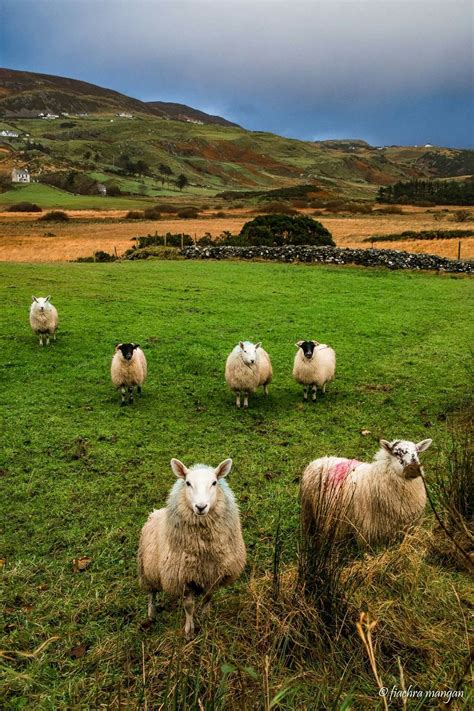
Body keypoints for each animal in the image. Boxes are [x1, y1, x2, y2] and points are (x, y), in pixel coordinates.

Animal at [137, 458, 246, 644]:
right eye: (188, 483)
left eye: (214, 482)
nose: (201, 507)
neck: (203, 549)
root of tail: (154, 513)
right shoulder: (184, 578)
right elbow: (189, 606)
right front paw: (189, 631)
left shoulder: (214, 574)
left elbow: (208, 597)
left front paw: (205, 617)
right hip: (147, 570)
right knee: (151, 593)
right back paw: (151, 615)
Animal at [302, 436, 432, 548]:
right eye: (396, 453)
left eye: (418, 452)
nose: (414, 468)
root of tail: (319, 459)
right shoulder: (365, 530)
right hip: (308, 511)